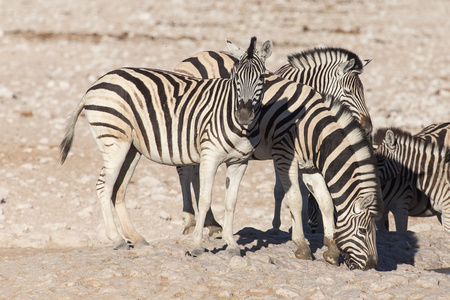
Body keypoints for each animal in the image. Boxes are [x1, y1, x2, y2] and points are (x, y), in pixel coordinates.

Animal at [58, 36, 272, 254]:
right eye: (235, 77)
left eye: (262, 78)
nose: (243, 115)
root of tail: (95, 85)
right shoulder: (210, 156)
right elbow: (205, 200)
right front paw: (197, 245)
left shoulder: (240, 162)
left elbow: (231, 202)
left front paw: (231, 243)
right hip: (114, 141)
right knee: (103, 186)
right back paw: (117, 239)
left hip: (131, 149)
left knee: (118, 188)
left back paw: (137, 238)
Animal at [174, 51, 382, 270]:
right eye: (349, 91)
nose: (368, 127)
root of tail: (195, 56)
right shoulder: (283, 155)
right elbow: (294, 197)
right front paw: (299, 241)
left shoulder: (304, 163)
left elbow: (321, 200)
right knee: (184, 173)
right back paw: (190, 221)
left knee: (194, 175)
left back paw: (212, 224)